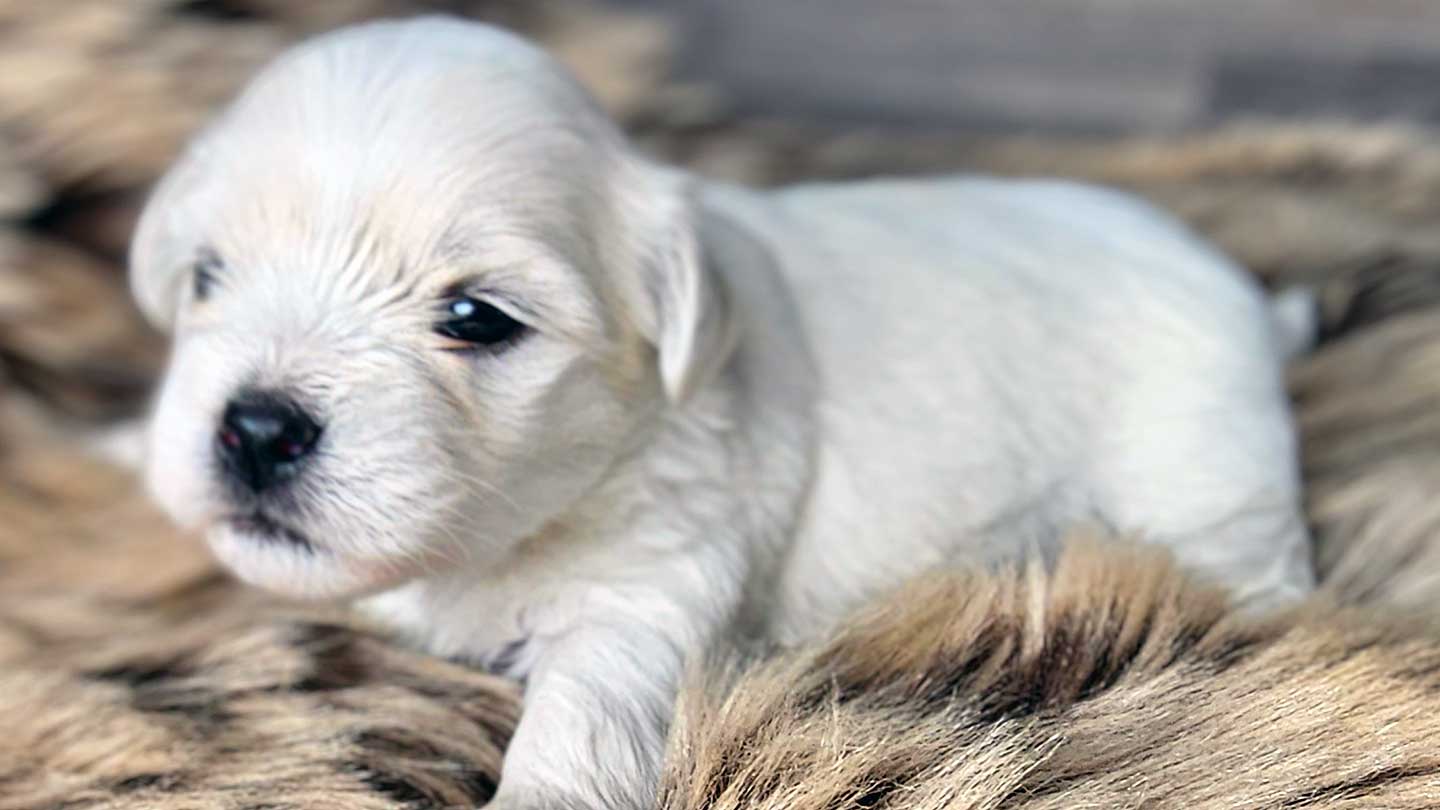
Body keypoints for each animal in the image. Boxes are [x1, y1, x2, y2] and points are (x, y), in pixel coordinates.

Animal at [130, 17, 1315, 810]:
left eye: (476, 318)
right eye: (208, 278)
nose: (257, 428)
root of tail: (1251, 297)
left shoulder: (648, 582)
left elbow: (582, 711)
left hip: (1204, 482)